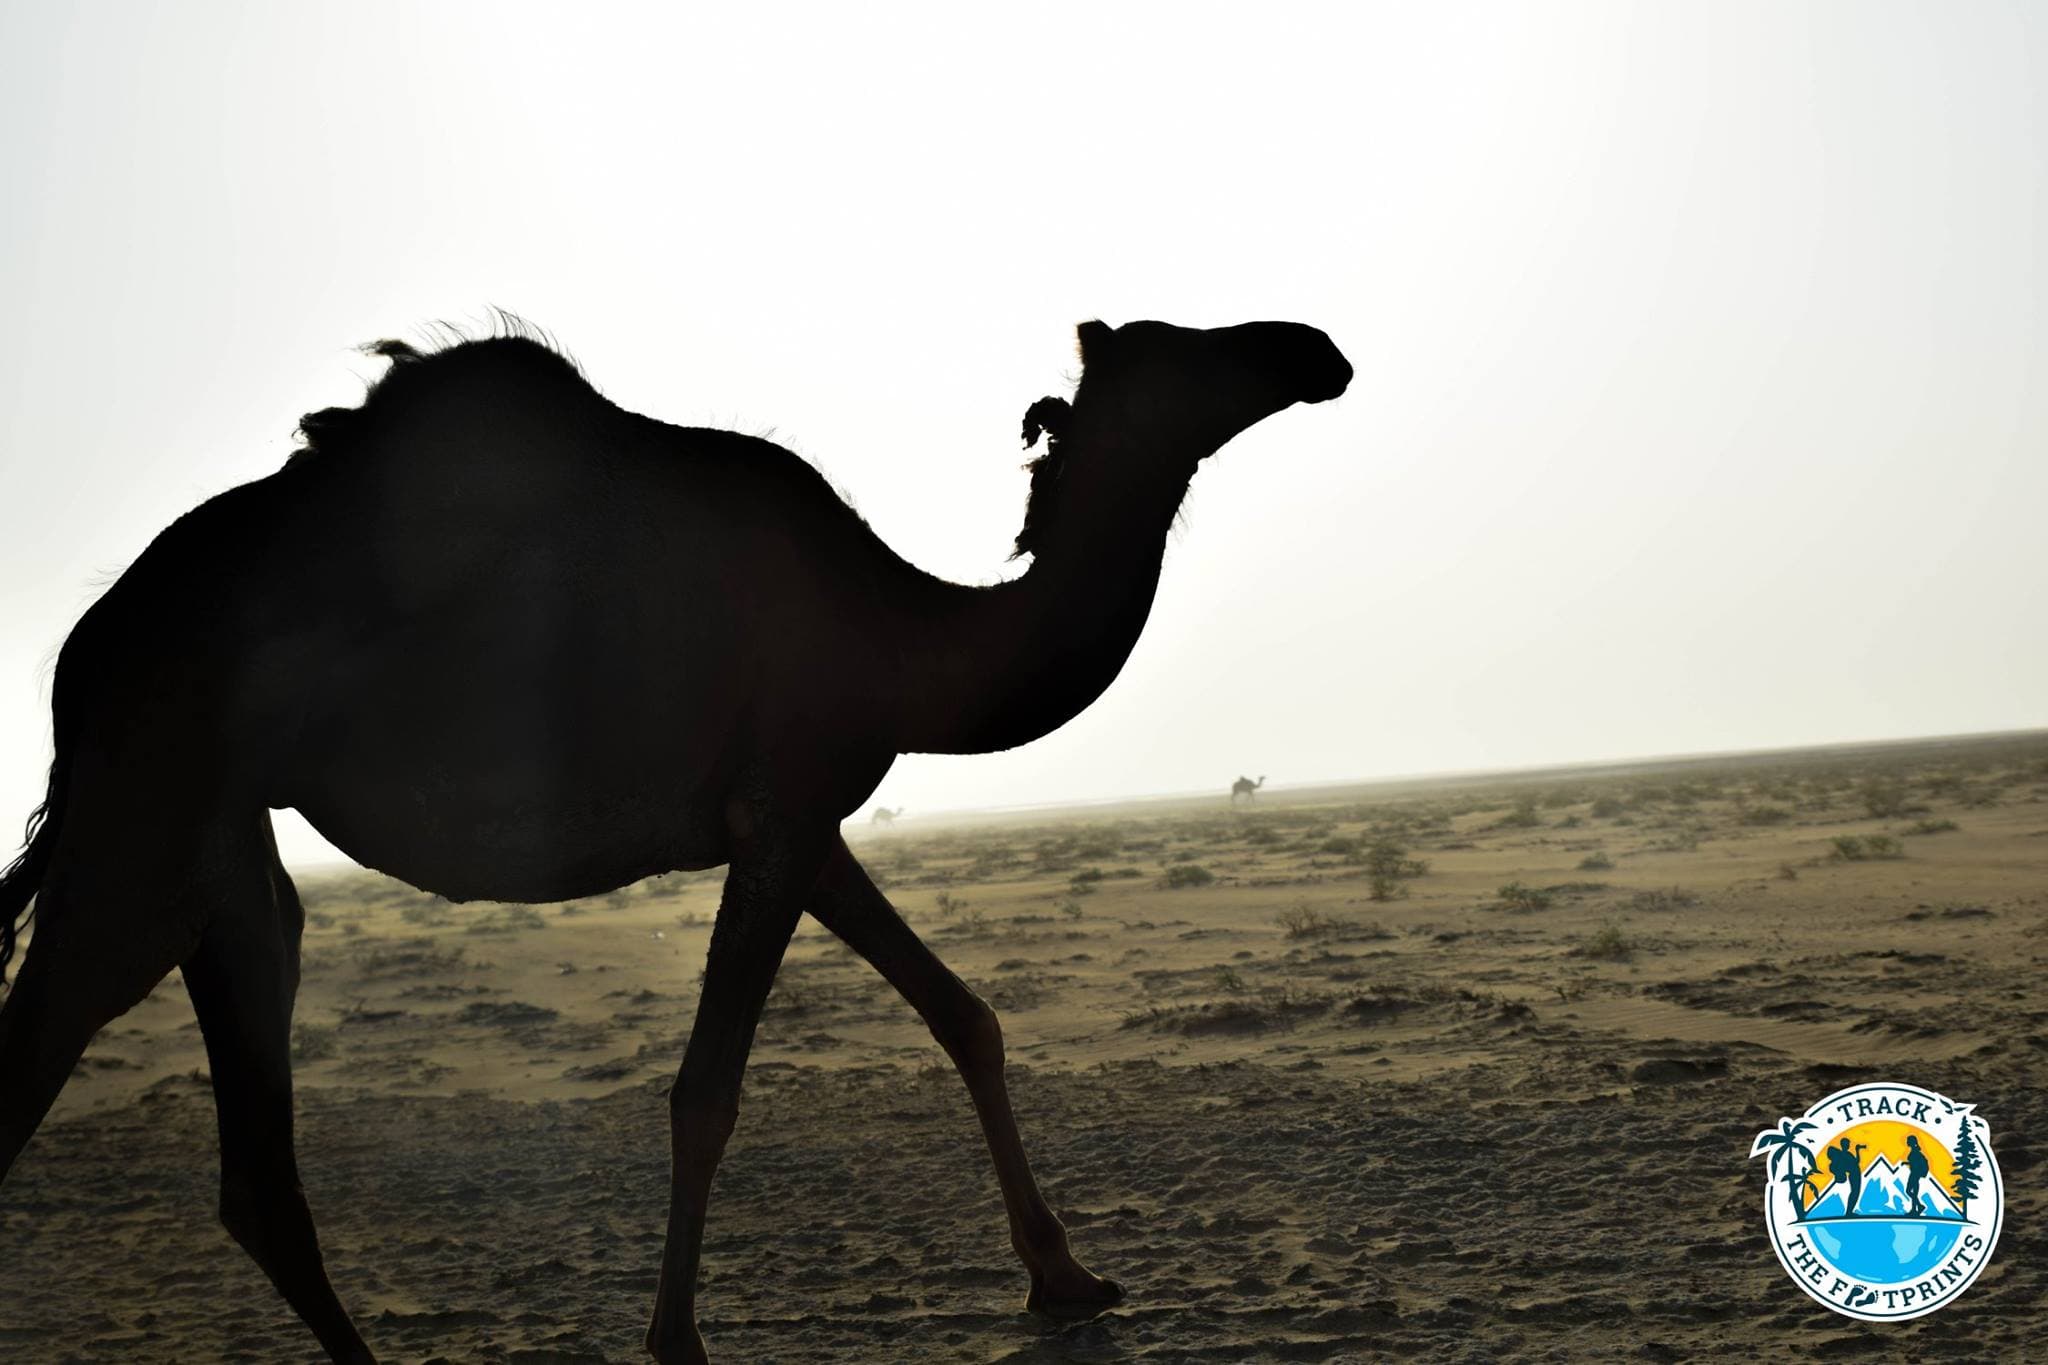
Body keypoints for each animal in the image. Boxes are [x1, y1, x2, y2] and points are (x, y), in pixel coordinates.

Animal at [0, 315, 1350, 1363]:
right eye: (1180, 350)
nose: (1314, 348)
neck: (902, 638)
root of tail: (82, 653)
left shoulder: (803, 817)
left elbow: (962, 1014)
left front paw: (1067, 1278)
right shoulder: (784, 815)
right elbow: (705, 1092)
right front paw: (677, 1340)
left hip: (219, 852)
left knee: (254, 1171)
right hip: (148, 811)